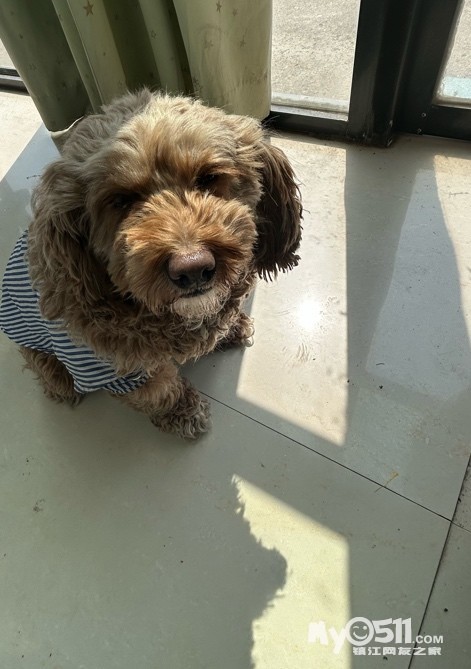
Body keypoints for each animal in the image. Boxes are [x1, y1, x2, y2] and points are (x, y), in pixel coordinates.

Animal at [0, 89, 302, 438]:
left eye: (208, 177)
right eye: (120, 200)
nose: (192, 269)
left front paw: (230, 327)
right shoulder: (115, 371)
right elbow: (159, 392)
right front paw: (183, 412)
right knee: (42, 362)